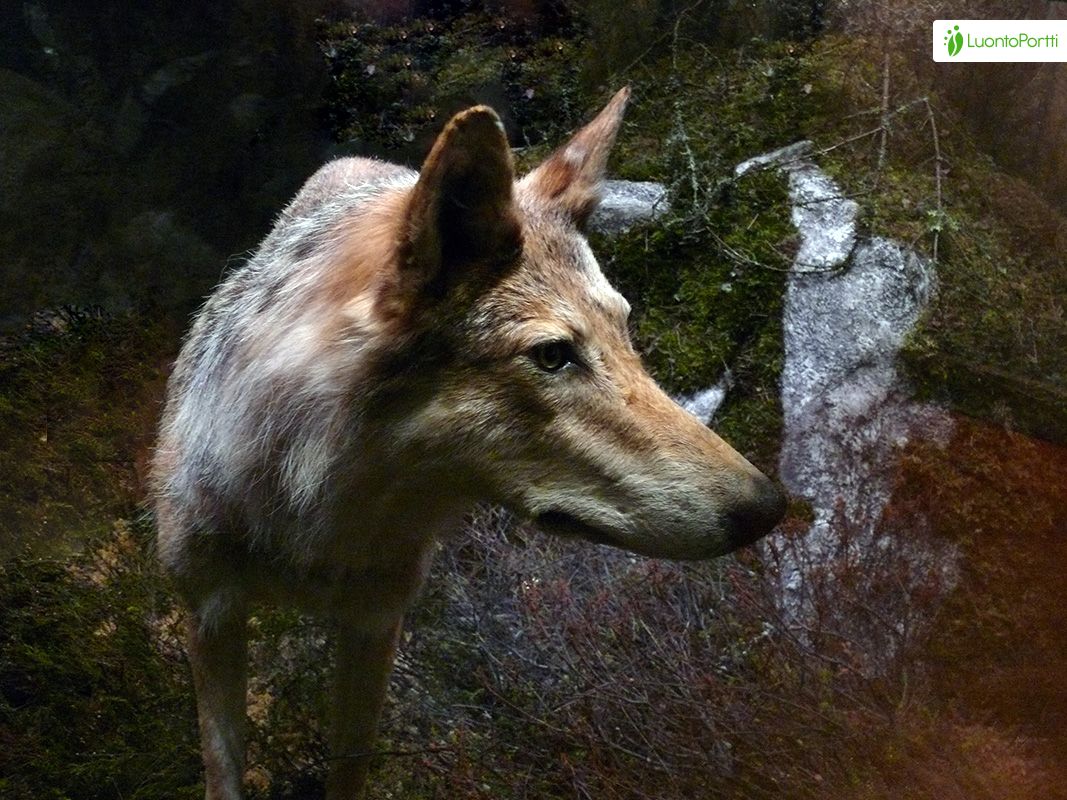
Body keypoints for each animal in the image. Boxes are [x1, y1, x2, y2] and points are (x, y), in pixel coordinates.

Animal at [152, 89, 785, 800]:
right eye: (553, 356)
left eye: (625, 332)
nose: (769, 508)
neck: (308, 515)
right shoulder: (209, 613)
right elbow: (222, 765)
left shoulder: (373, 625)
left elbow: (349, 767)